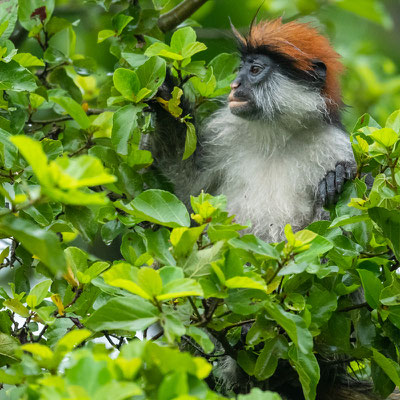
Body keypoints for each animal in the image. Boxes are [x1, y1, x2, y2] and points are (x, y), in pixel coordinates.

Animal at [151, 18, 356, 241]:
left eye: (255, 70)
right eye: (240, 68)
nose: (234, 85)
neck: (276, 135)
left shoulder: (335, 144)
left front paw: (336, 177)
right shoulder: (225, 132)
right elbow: (190, 184)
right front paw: (164, 91)